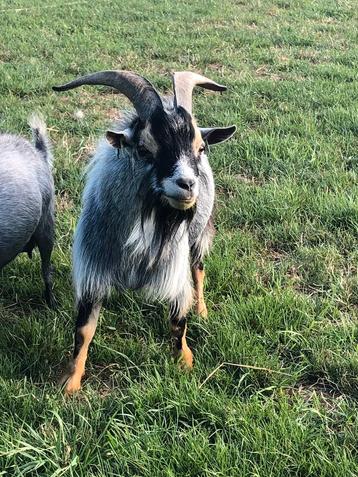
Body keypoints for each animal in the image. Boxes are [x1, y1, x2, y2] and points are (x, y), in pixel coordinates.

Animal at [53, 69, 236, 390]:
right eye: (143, 148)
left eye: (200, 148)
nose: (188, 185)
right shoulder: (93, 266)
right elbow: (84, 329)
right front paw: (71, 383)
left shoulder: (173, 268)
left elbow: (178, 320)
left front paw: (185, 363)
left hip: (198, 235)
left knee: (198, 269)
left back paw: (202, 310)